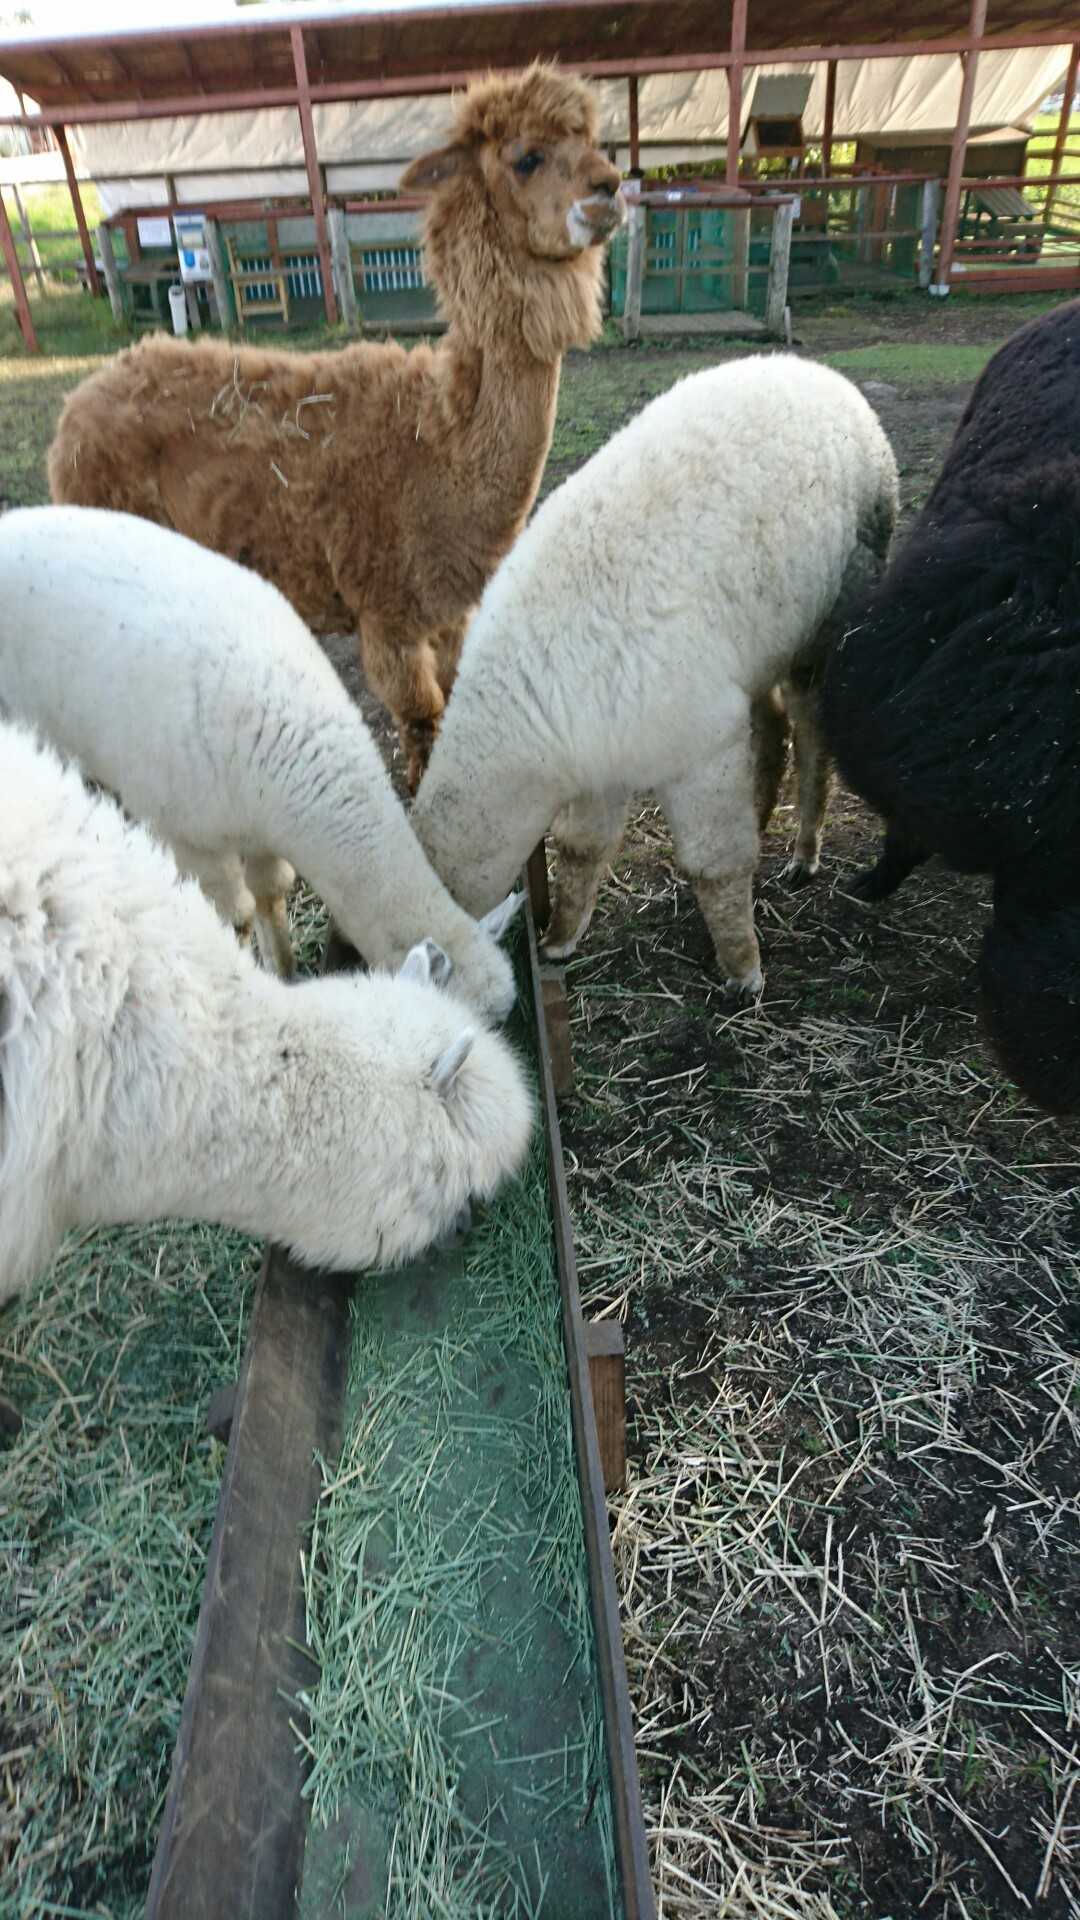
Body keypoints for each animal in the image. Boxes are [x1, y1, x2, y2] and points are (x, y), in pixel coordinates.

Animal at [47, 64, 624, 791]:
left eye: (594, 141)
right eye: (527, 158)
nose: (610, 187)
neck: (436, 455)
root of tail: (75, 407)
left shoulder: (449, 616)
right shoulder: (388, 616)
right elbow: (422, 730)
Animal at [411, 355, 899, 996]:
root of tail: (825, 374)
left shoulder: (696, 746)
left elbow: (714, 863)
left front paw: (743, 970)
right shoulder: (599, 757)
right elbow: (581, 848)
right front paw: (560, 939)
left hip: (832, 612)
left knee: (813, 728)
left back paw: (804, 853)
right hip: (756, 650)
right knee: (772, 724)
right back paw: (763, 817)